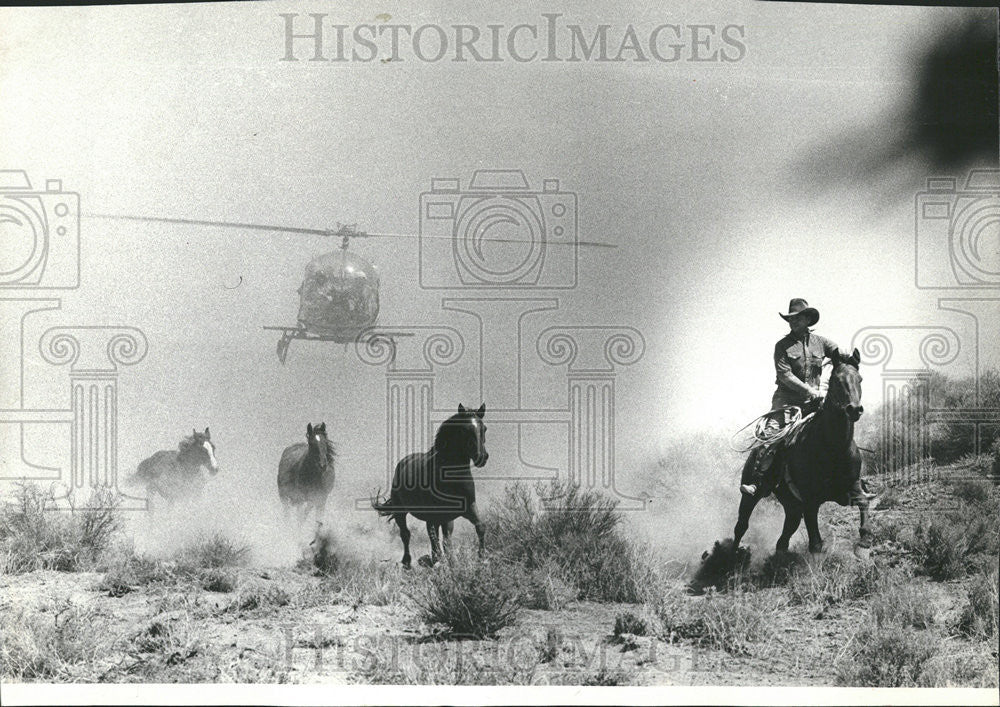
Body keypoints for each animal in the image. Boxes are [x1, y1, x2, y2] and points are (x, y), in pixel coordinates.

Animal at [372, 404, 488, 568]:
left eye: (484, 428)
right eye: (465, 429)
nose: (482, 457)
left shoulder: (467, 507)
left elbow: (480, 526)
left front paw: (482, 558)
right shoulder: (433, 514)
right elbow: (435, 539)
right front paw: (440, 562)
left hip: (443, 518)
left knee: (442, 538)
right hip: (403, 512)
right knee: (406, 534)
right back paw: (408, 563)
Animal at [732, 348, 872, 560]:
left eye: (860, 379)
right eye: (836, 381)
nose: (854, 409)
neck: (833, 448)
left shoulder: (852, 486)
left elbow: (863, 501)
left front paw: (863, 545)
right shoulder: (810, 500)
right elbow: (815, 542)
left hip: (791, 504)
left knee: (787, 531)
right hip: (752, 493)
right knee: (741, 525)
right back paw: (729, 558)